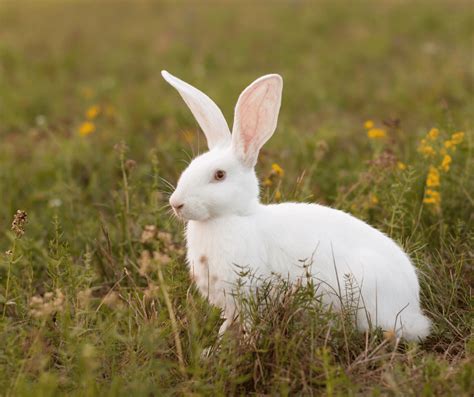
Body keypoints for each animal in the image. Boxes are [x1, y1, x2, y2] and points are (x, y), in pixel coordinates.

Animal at [162, 70, 430, 340]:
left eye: (219, 175)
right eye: (190, 166)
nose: (176, 203)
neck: (234, 217)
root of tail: (413, 307)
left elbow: (248, 324)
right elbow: (228, 323)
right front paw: (217, 343)